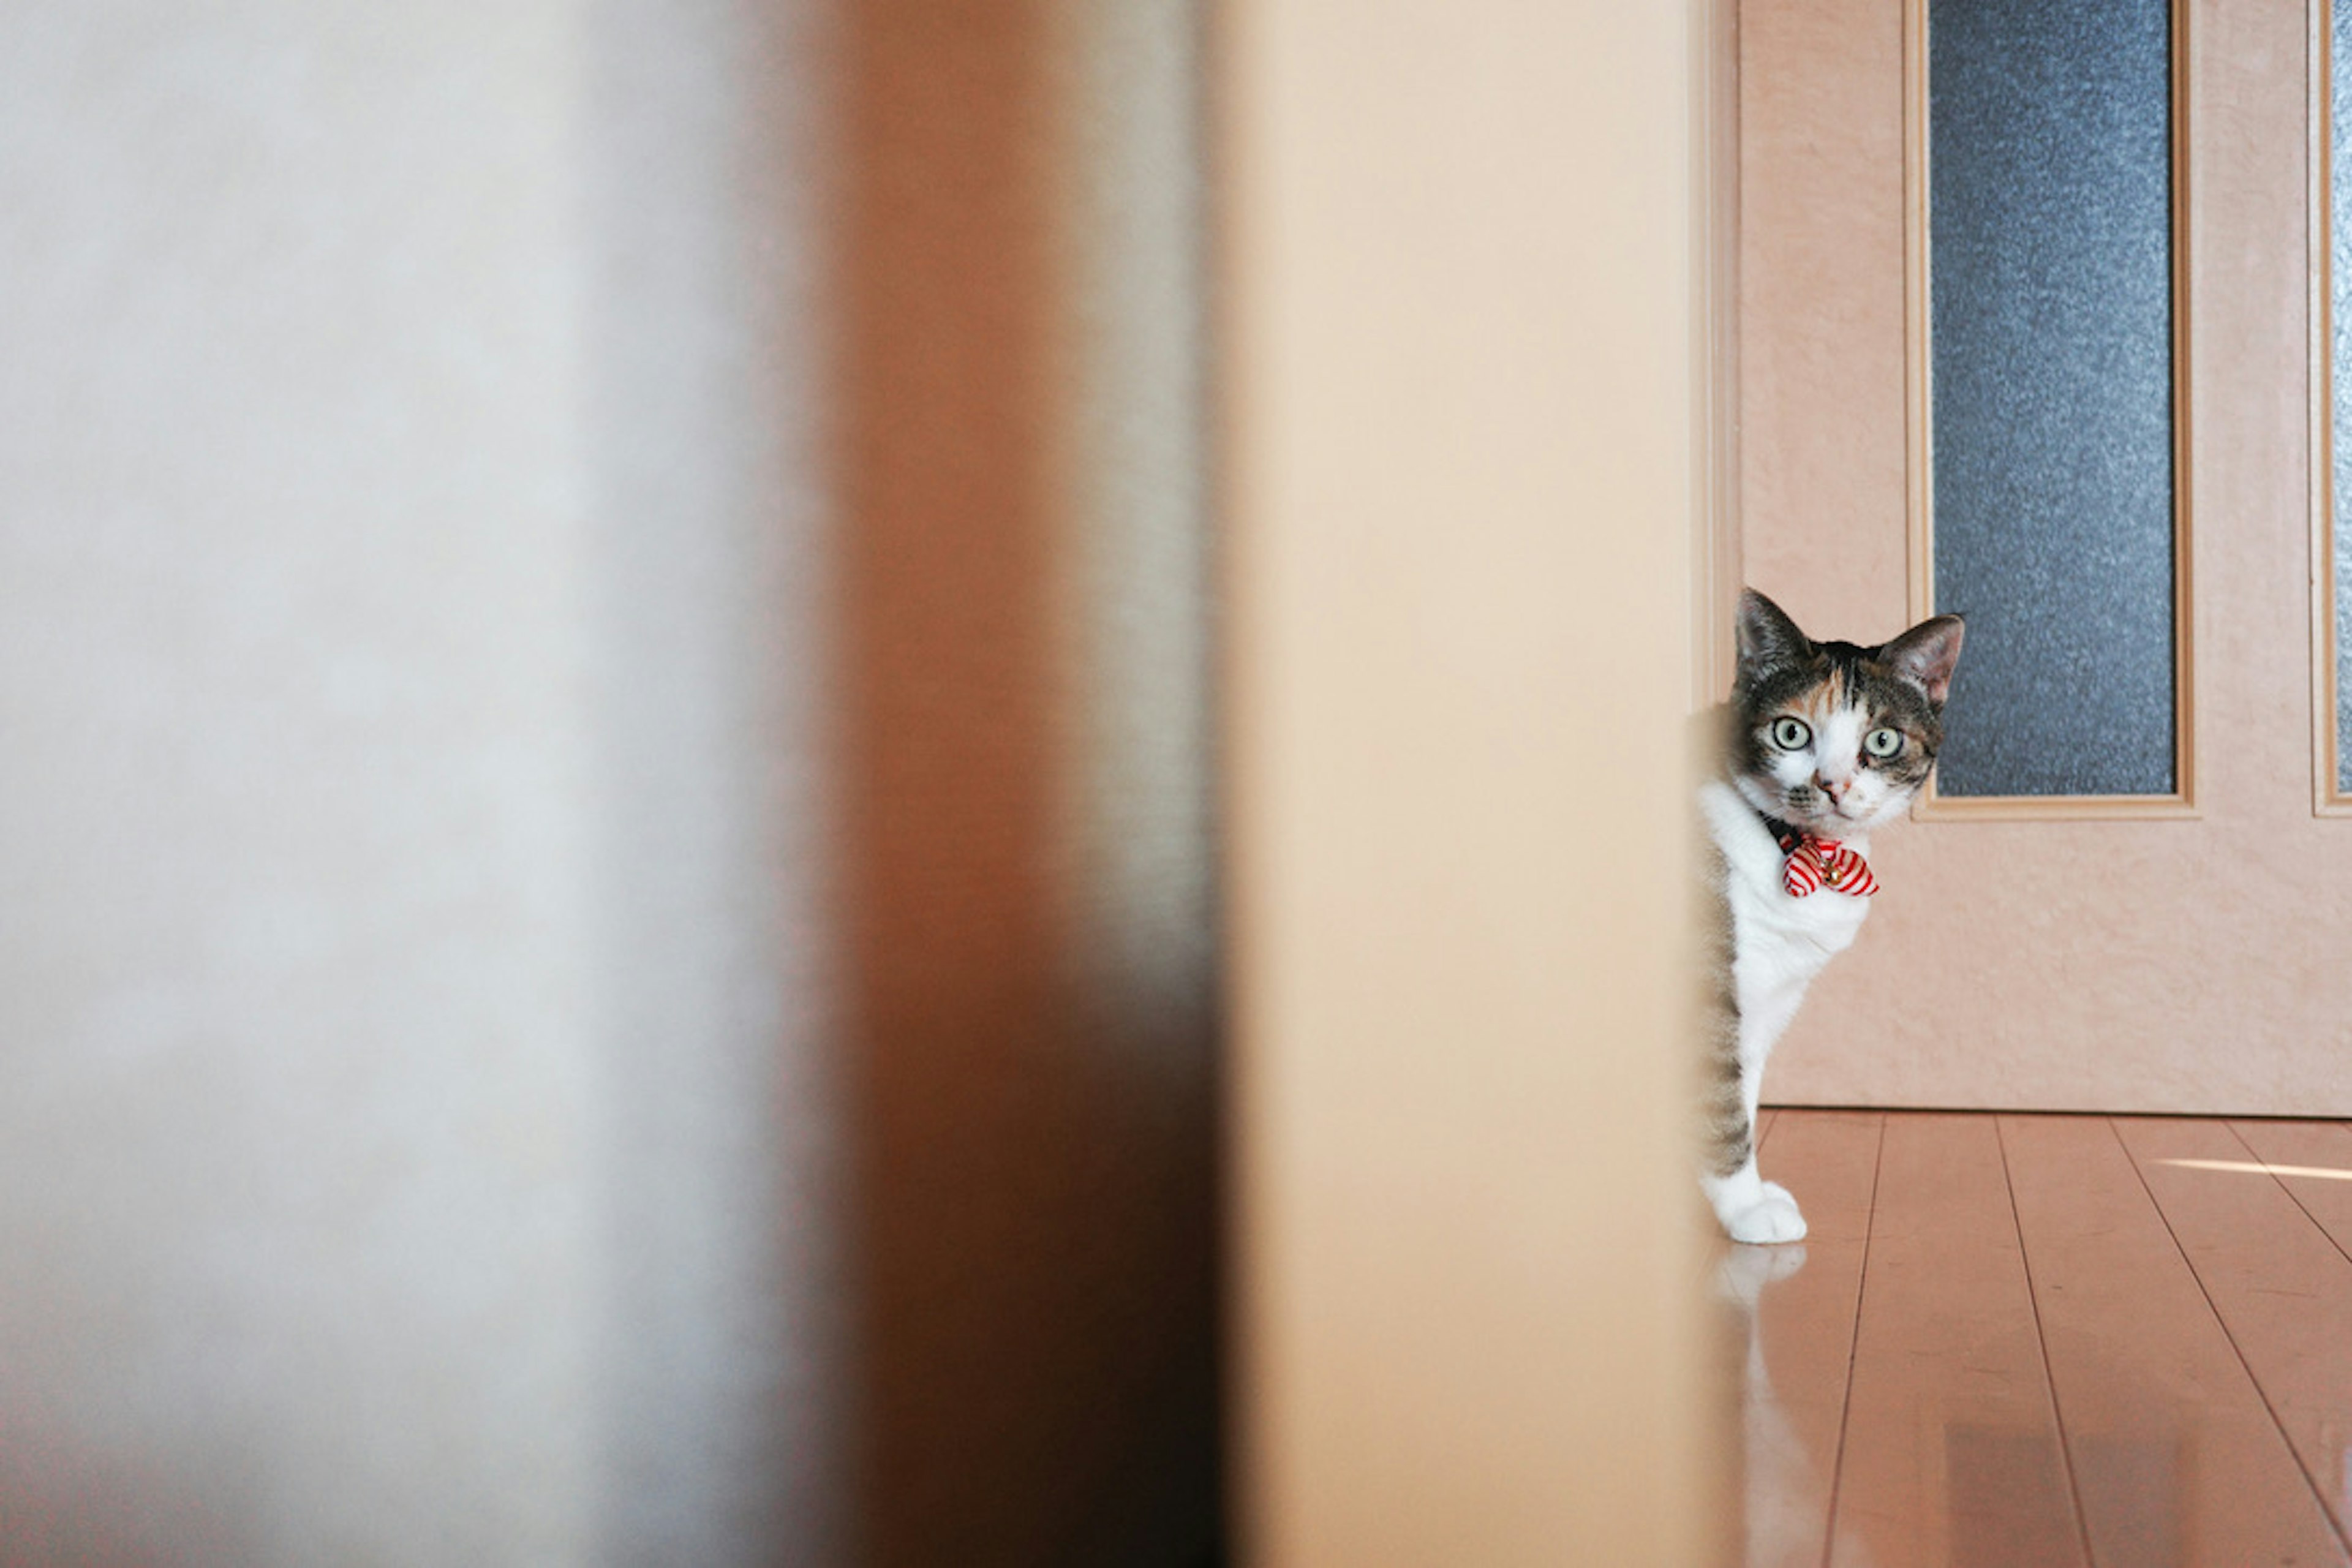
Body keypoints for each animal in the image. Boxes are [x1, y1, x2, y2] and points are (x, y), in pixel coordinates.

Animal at [1693, 595, 1966, 1241]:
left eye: (1884, 740)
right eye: (1791, 733)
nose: (1834, 784)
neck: (1797, 850)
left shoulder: (1767, 996)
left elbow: (1743, 1091)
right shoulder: (1708, 990)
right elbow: (1722, 1102)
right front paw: (1745, 1208)